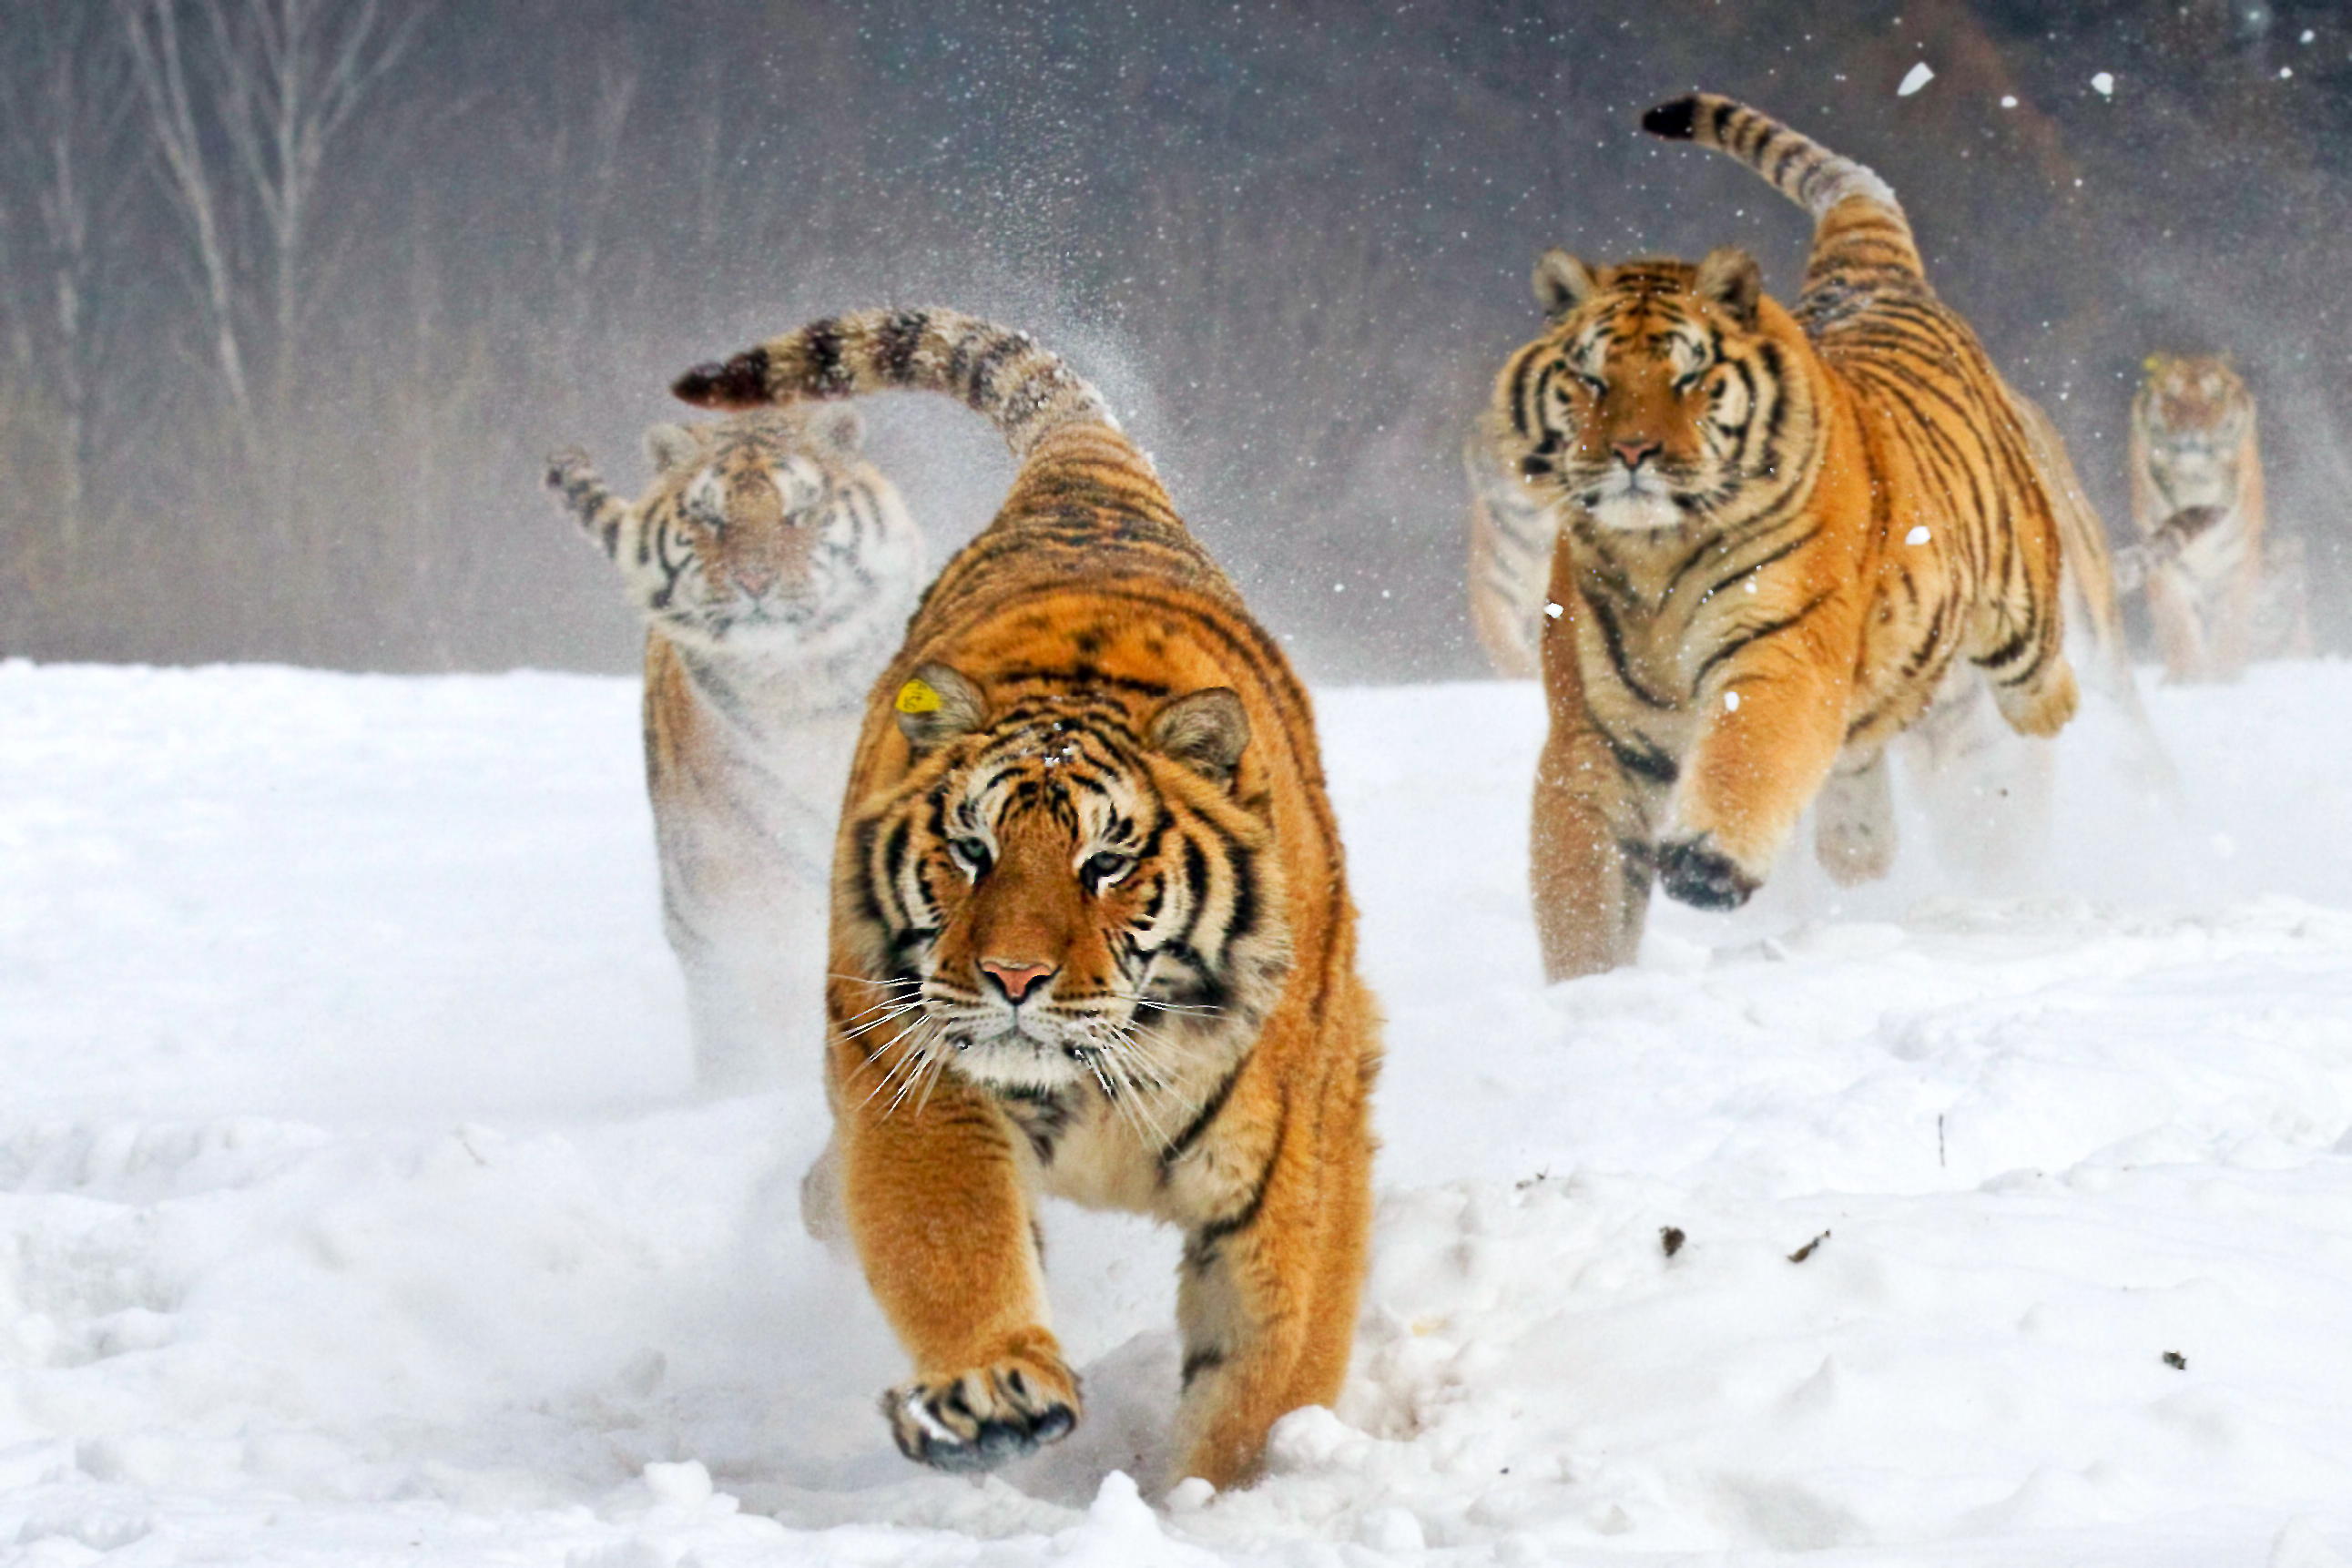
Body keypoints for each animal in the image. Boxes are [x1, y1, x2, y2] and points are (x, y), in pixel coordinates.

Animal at [672, 310, 1382, 1494]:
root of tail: (1081, 481)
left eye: (1106, 863)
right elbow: (951, 1245)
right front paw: (993, 1394)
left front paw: (1221, 1494)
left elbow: (1267, 1368)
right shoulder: (920, 1083)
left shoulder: (1299, 1154)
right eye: (972, 850)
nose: (1011, 977)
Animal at [2126, 354, 2305, 681]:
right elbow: (2179, 625)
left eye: (2215, 396)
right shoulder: (2167, 558)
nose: (2192, 428)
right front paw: (2187, 680)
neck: (2196, 479)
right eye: (2171, 396)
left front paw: (2224, 679)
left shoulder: (2239, 559)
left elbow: (2230, 626)